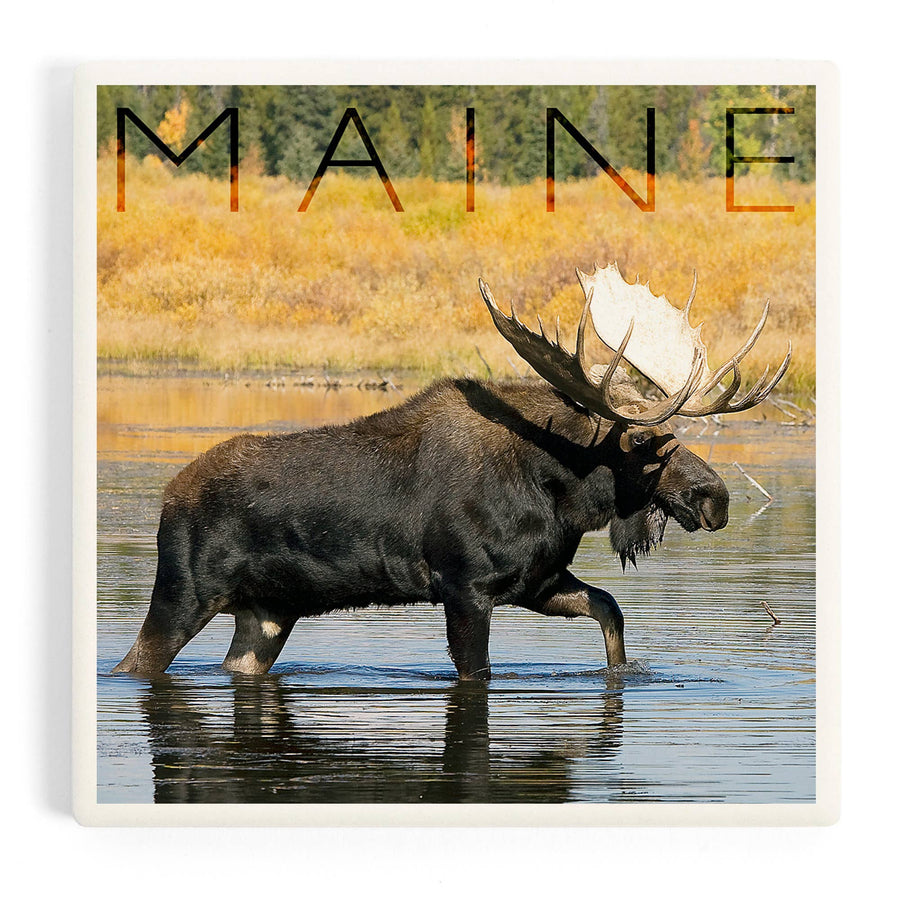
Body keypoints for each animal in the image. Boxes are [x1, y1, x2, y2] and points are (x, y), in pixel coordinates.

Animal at [112, 262, 790, 680]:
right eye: (648, 438)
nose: (715, 495)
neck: (562, 494)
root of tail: (167, 499)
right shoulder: (464, 585)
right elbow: (478, 671)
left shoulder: (536, 580)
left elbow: (610, 610)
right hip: (184, 592)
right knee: (133, 663)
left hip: (268, 612)